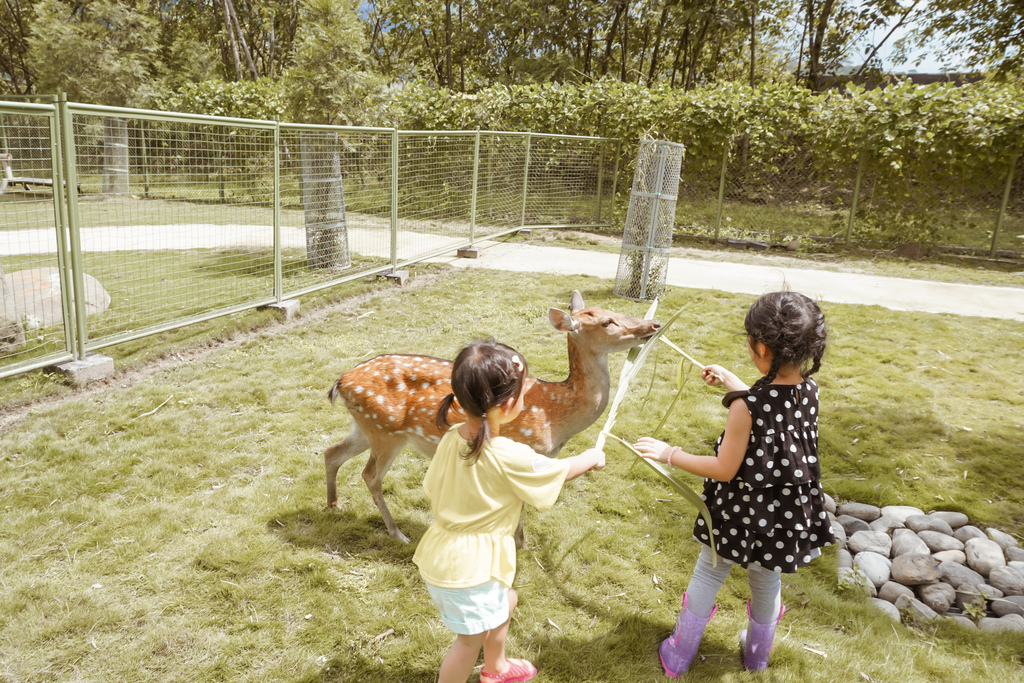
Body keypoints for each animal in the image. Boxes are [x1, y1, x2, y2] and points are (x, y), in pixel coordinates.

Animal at [327, 290, 663, 540]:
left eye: (612, 310)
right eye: (608, 322)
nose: (655, 325)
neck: (556, 414)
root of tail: (340, 383)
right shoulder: (526, 449)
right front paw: (518, 544)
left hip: (365, 426)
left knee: (332, 452)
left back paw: (333, 505)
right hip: (386, 430)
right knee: (370, 475)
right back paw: (397, 532)